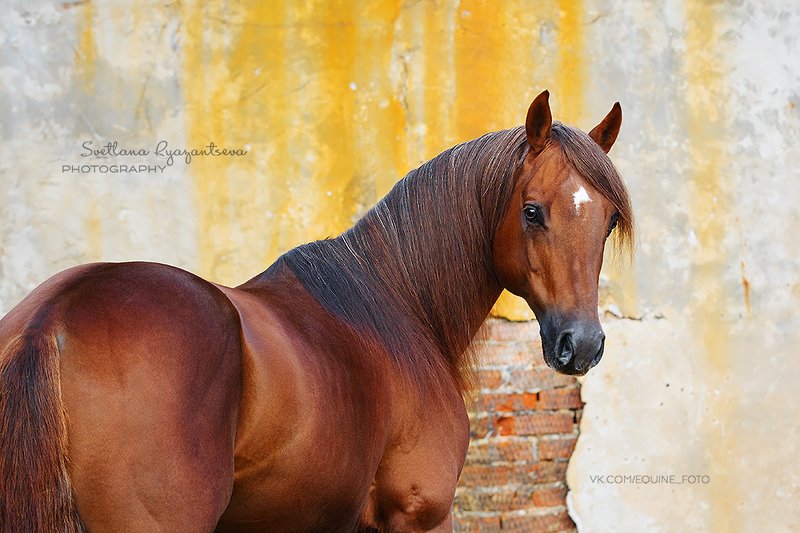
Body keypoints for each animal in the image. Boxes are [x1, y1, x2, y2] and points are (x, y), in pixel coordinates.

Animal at [0, 90, 633, 532]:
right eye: (532, 211)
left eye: (607, 222)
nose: (582, 344)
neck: (400, 306)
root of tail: (51, 319)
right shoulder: (420, 513)